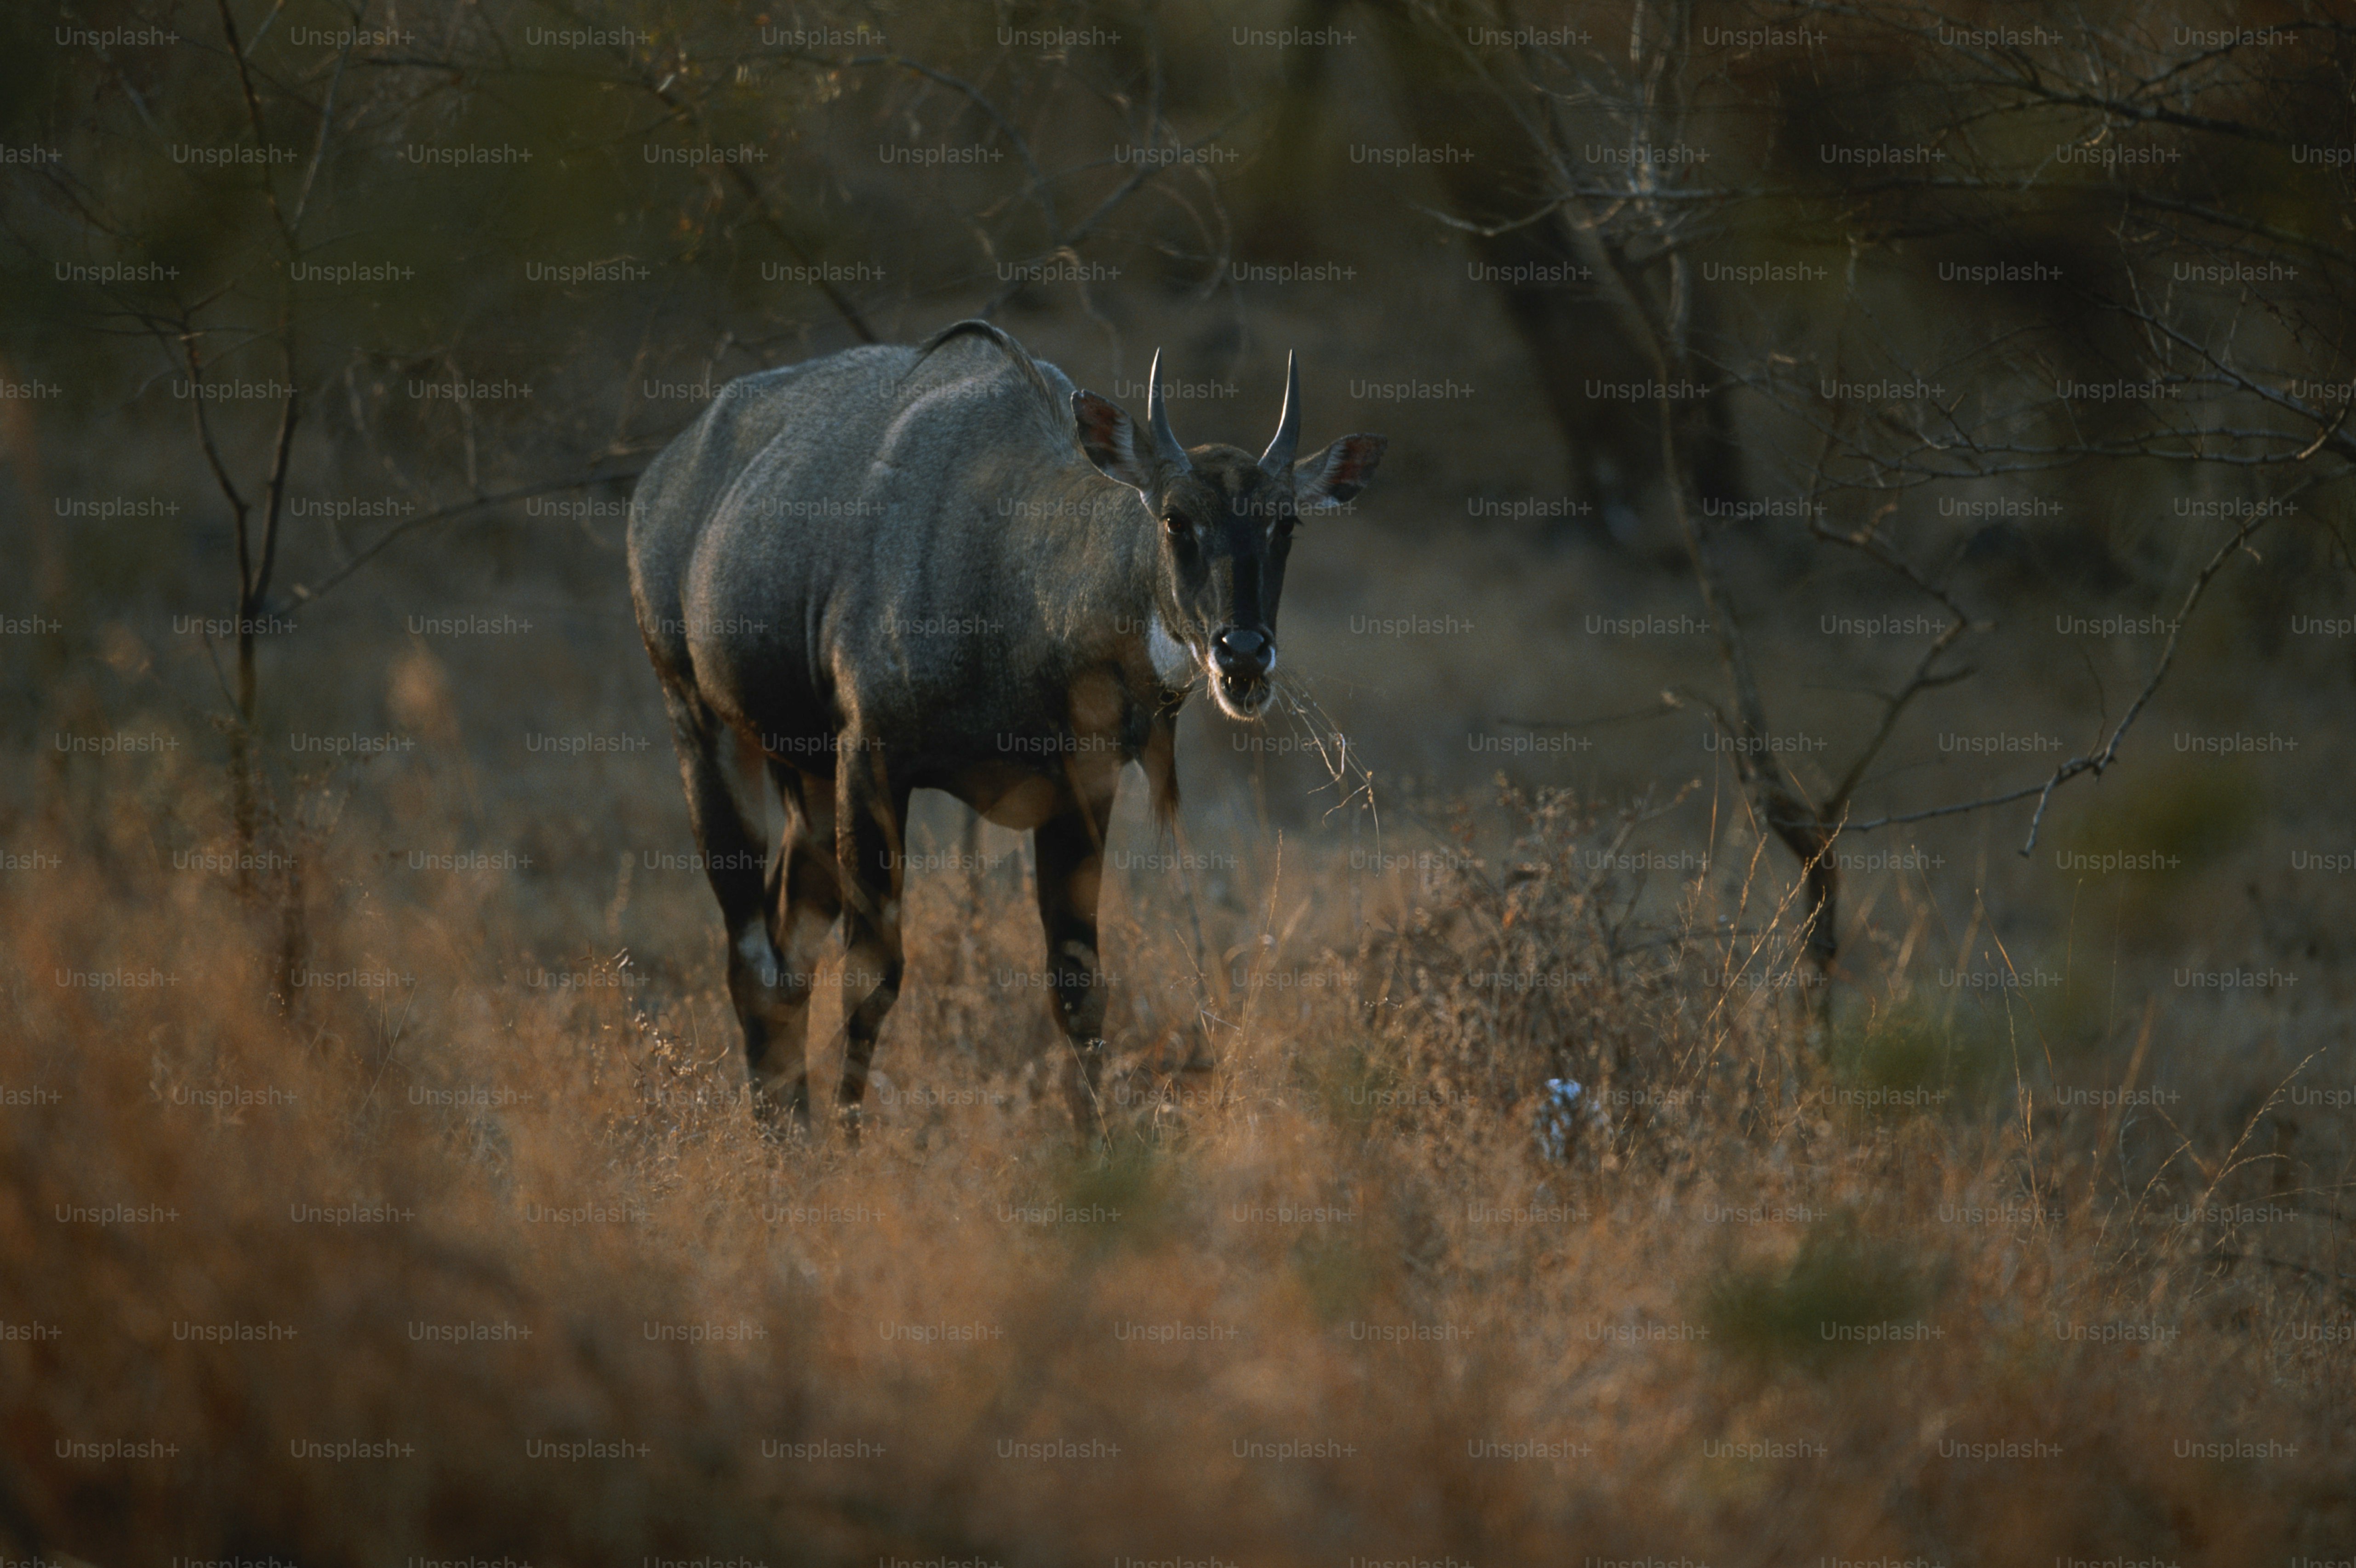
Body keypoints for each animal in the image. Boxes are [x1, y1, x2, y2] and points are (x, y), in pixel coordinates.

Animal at [628, 321, 1384, 1134]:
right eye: (1175, 517)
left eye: (1286, 520)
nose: (1242, 653)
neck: (1015, 576)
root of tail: (660, 478)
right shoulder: (873, 761)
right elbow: (872, 977)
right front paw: (851, 1143)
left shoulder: (1082, 790)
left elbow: (1078, 985)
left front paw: (1098, 1144)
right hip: (701, 723)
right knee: (751, 954)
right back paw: (788, 1134)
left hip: (806, 777)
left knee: (786, 948)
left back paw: (789, 1130)